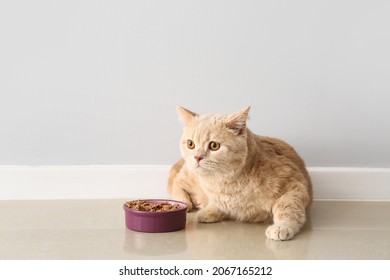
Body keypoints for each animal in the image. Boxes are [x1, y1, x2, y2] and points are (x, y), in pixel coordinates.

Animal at [166, 106, 312, 240]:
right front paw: (207, 209)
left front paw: (282, 227)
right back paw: (187, 202)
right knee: (177, 184)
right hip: (188, 174)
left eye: (214, 146)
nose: (197, 157)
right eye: (190, 144)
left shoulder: (294, 185)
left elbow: (290, 209)